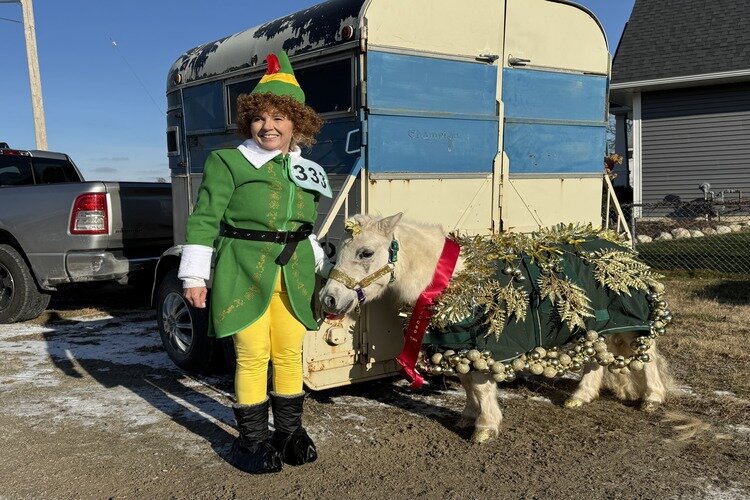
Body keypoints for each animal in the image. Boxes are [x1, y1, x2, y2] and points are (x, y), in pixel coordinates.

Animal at [320, 213, 672, 444]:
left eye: (366, 252)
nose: (329, 299)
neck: (454, 280)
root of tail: (622, 247)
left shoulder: (482, 345)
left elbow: (480, 384)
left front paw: (485, 427)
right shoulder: (457, 345)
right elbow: (467, 382)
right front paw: (468, 416)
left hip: (629, 320)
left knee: (647, 354)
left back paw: (653, 398)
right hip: (597, 325)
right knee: (596, 358)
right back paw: (580, 397)